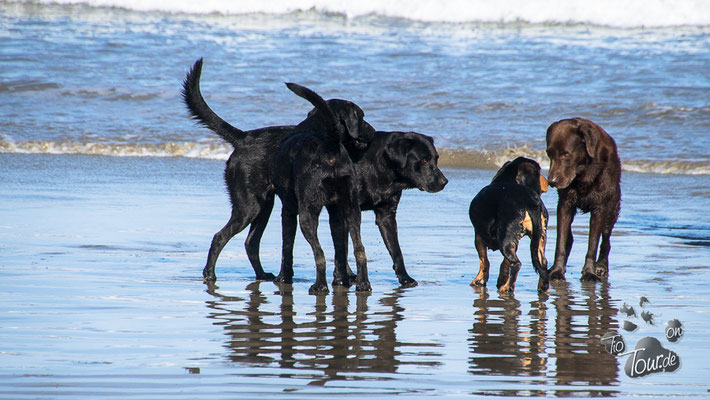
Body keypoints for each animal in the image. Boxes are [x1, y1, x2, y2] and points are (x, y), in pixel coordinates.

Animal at [182, 59, 378, 284]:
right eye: (362, 117)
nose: (374, 131)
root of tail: (244, 138)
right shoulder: (298, 209)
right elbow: (291, 248)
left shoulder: (334, 209)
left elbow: (338, 247)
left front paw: (344, 276)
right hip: (252, 207)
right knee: (221, 237)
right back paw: (211, 274)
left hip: (263, 207)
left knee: (250, 242)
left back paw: (261, 275)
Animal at [470, 157, 552, 294]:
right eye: (539, 171)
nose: (548, 182)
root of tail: (530, 201)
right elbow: (504, 263)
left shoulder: (479, 236)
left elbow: (484, 260)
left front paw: (480, 279)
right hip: (540, 236)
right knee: (543, 262)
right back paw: (543, 285)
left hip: (505, 238)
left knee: (516, 263)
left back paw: (507, 287)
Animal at [544, 118, 624, 282]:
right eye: (549, 154)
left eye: (565, 154)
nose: (551, 181)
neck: (583, 174)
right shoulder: (565, 205)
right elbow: (560, 242)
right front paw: (557, 271)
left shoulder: (599, 208)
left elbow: (593, 244)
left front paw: (589, 272)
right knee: (569, 238)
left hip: (612, 207)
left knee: (606, 240)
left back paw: (601, 267)